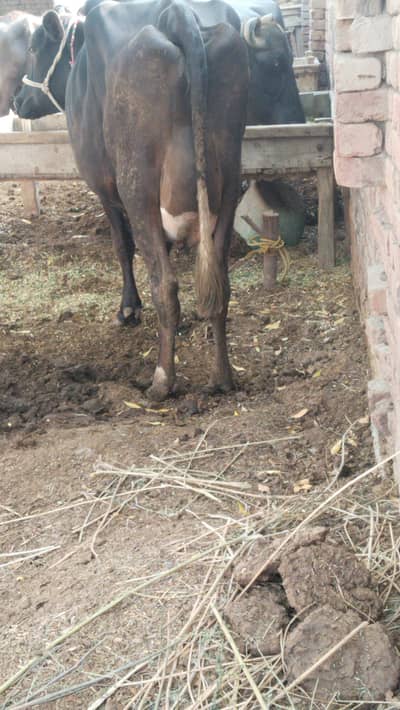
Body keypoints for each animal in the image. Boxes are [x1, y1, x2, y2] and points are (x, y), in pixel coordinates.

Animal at [15, 1, 249, 401]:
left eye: (32, 49)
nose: (15, 99)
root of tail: (176, 15)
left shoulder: (105, 186)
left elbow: (122, 246)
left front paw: (127, 309)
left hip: (137, 187)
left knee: (165, 284)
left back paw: (161, 381)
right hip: (230, 183)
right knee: (218, 282)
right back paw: (221, 377)